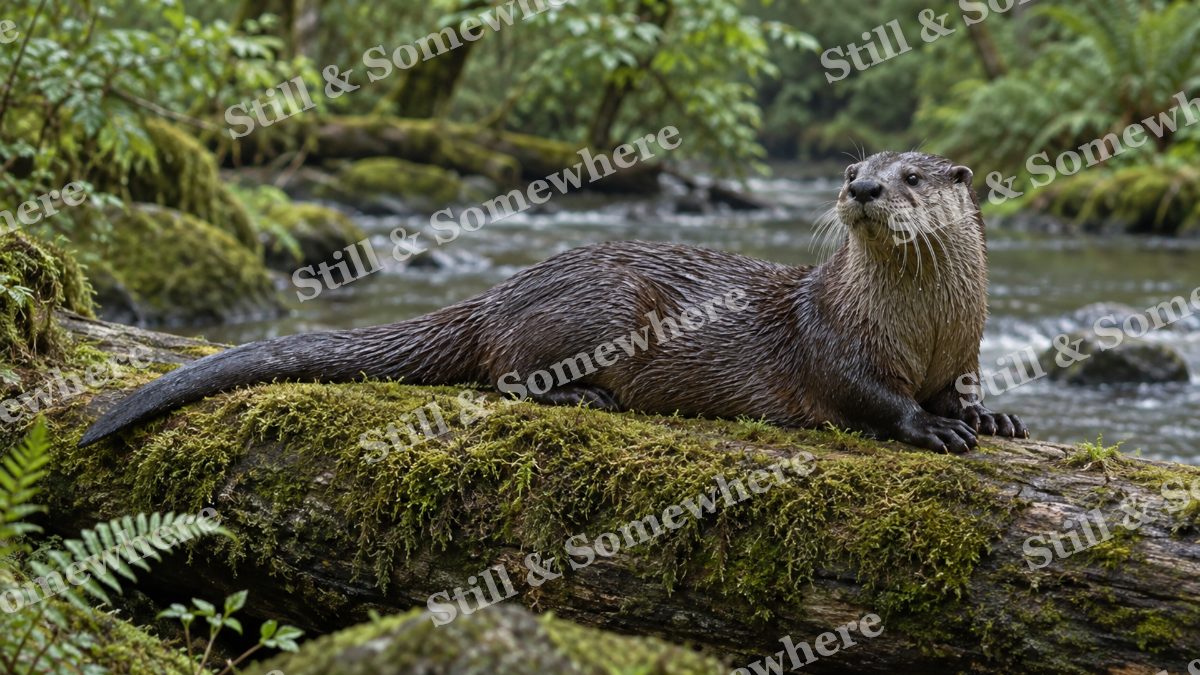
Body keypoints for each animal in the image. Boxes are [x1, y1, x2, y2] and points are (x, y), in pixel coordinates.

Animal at [79, 151, 1026, 452]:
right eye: (853, 167)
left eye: (910, 176)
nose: (862, 187)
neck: (926, 331)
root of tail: (502, 288)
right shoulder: (835, 337)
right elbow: (868, 395)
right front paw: (932, 426)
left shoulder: (967, 346)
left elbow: (969, 384)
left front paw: (995, 417)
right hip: (595, 306)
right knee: (505, 375)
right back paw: (588, 396)